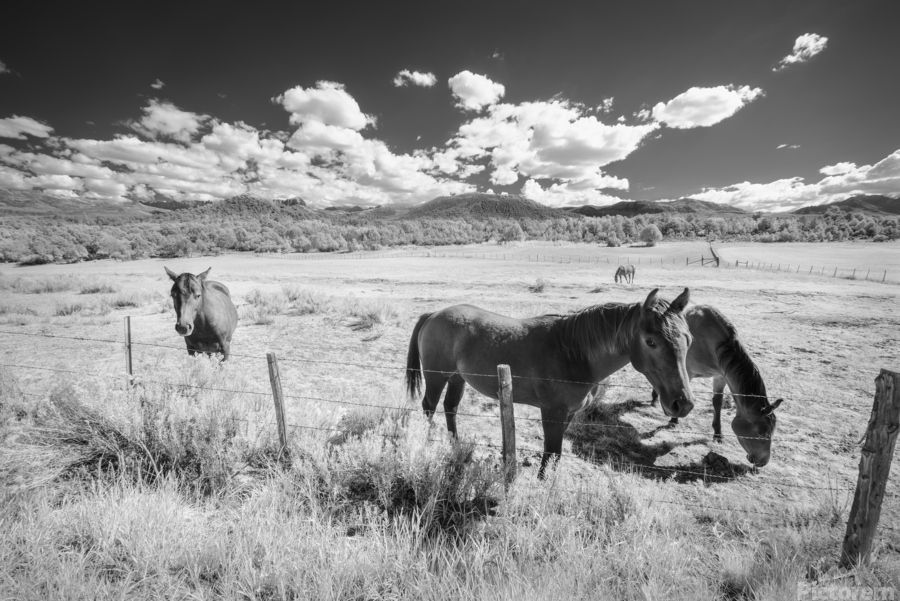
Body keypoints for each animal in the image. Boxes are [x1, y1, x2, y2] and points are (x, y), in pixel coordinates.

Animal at [408, 288, 696, 476]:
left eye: (689, 339)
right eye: (651, 342)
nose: (682, 404)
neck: (574, 353)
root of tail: (434, 314)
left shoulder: (568, 413)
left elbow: (555, 453)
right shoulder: (551, 412)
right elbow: (550, 449)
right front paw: (542, 480)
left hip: (457, 378)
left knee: (450, 408)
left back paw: (455, 445)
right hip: (436, 377)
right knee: (429, 407)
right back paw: (426, 441)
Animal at [652, 302, 784, 466]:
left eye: (772, 431)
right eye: (761, 432)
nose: (763, 461)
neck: (714, 343)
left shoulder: (721, 376)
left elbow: (717, 403)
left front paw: (718, 434)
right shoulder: (686, 372)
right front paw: (674, 420)